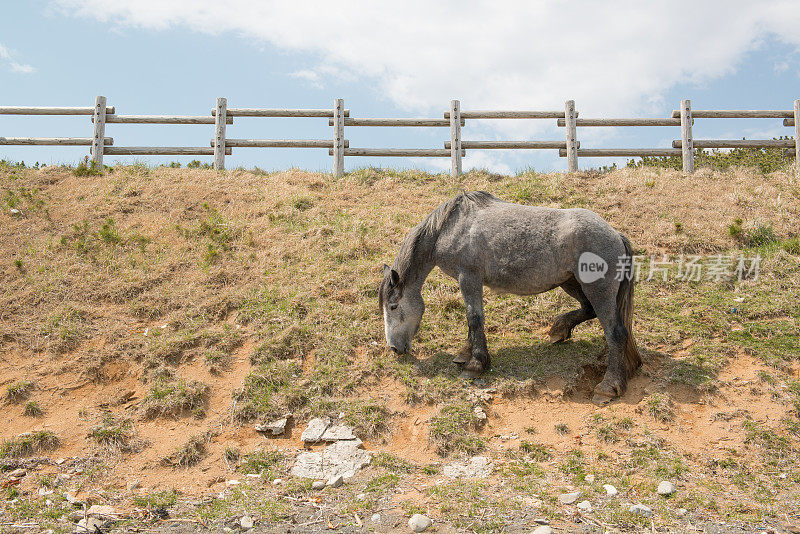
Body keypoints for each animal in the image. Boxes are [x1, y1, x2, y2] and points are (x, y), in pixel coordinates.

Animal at [382, 193, 644, 406]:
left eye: (393, 306)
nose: (394, 348)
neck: (450, 228)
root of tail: (615, 234)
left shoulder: (469, 278)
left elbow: (474, 318)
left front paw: (475, 364)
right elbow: (471, 321)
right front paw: (466, 352)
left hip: (597, 290)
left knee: (616, 333)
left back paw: (608, 387)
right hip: (571, 282)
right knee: (587, 309)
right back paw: (559, 330)